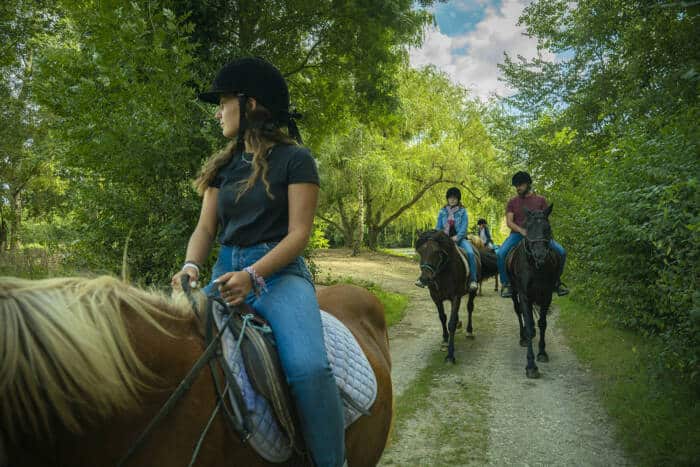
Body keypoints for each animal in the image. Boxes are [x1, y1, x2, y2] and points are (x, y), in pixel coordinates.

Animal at [416, 232, 492, 364]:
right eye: (420, 251)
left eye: (437, 252)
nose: (425, 279)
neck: (443, 273)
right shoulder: (436, 298)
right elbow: (442, 318)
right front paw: (445, 341)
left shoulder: (455, 297)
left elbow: (451, 323)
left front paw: (450, 355)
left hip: (472, 291)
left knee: (470, 308)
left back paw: (469, 331)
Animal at [506, 206, 560, 380]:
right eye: (528, 227)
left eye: (547, 228)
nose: (540, 255)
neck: (536, 267)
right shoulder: (524, 296)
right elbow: (529, 324)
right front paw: (531, 366)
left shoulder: (547, 295)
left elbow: (542, 323)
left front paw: (542, 352)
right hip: (515, 293)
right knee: (519, 313)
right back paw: (523, 337)